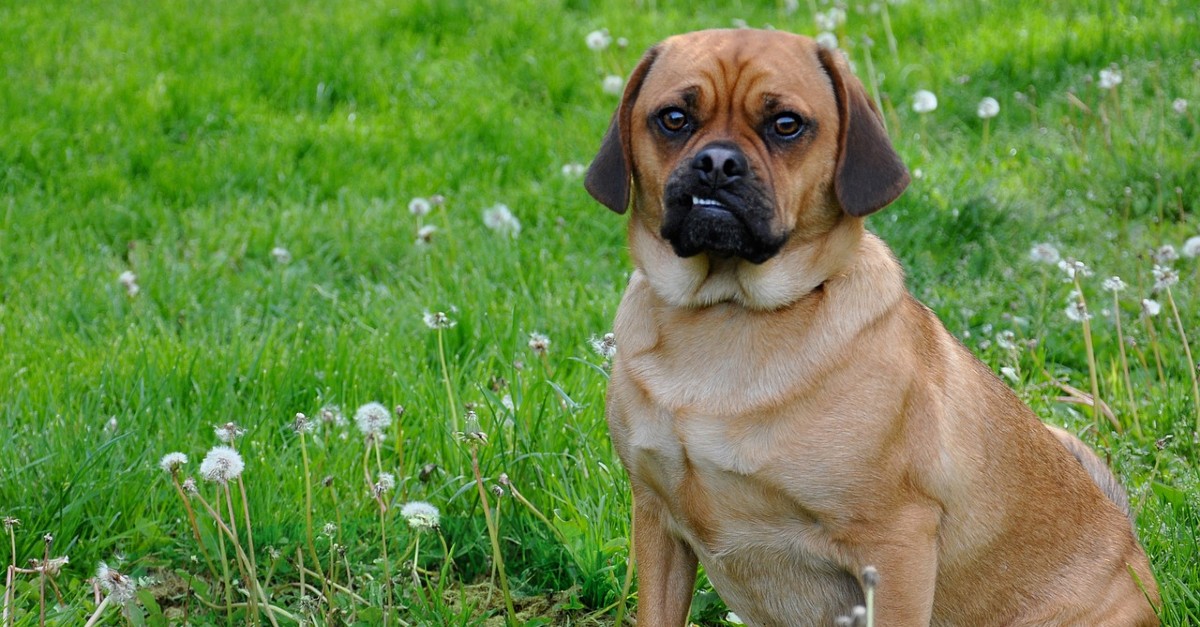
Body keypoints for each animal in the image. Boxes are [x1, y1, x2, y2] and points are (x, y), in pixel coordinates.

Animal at [585, 30, 1156, 624]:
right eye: (673, 118)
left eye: (786, 124)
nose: (717, 163)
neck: (727, 315)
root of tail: (1132, 546)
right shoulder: (656, 521)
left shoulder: (894, 545)